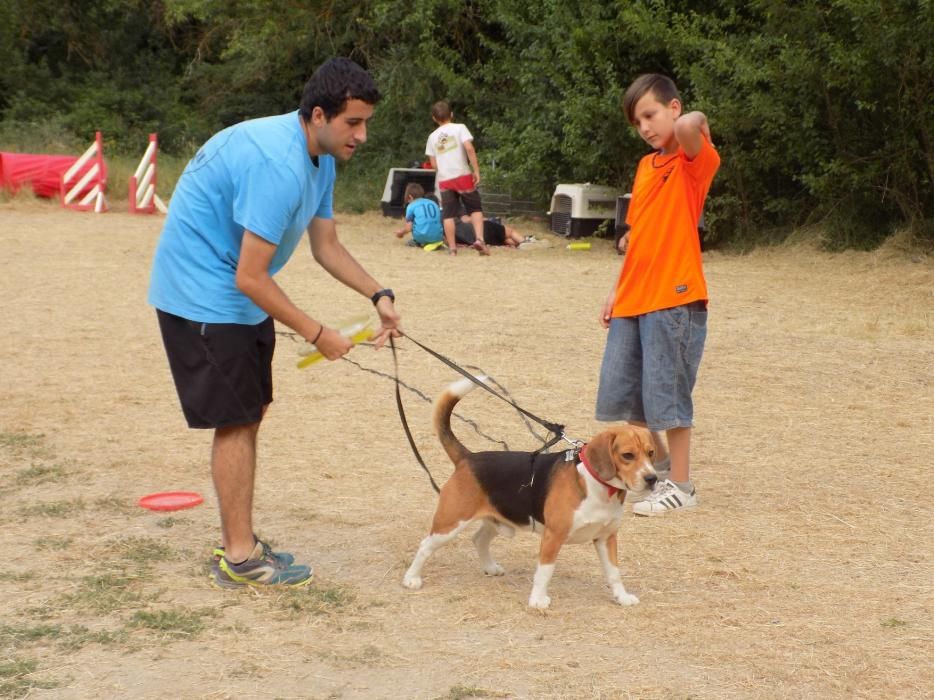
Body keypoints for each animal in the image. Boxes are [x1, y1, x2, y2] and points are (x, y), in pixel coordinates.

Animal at [402, 378, 660, 608]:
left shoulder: (606, 537)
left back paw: (489, 567)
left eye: (651, 453)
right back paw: (411, 578)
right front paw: (537, 601)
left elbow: (614, 573)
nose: (652, 479)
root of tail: (468, 457)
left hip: (497, 520)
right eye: (627, 455)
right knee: (425, 545)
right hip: (451, 523)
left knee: (479, 539)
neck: (597, 486)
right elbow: (544, 572)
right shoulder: (553, 537)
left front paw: (622, 597)